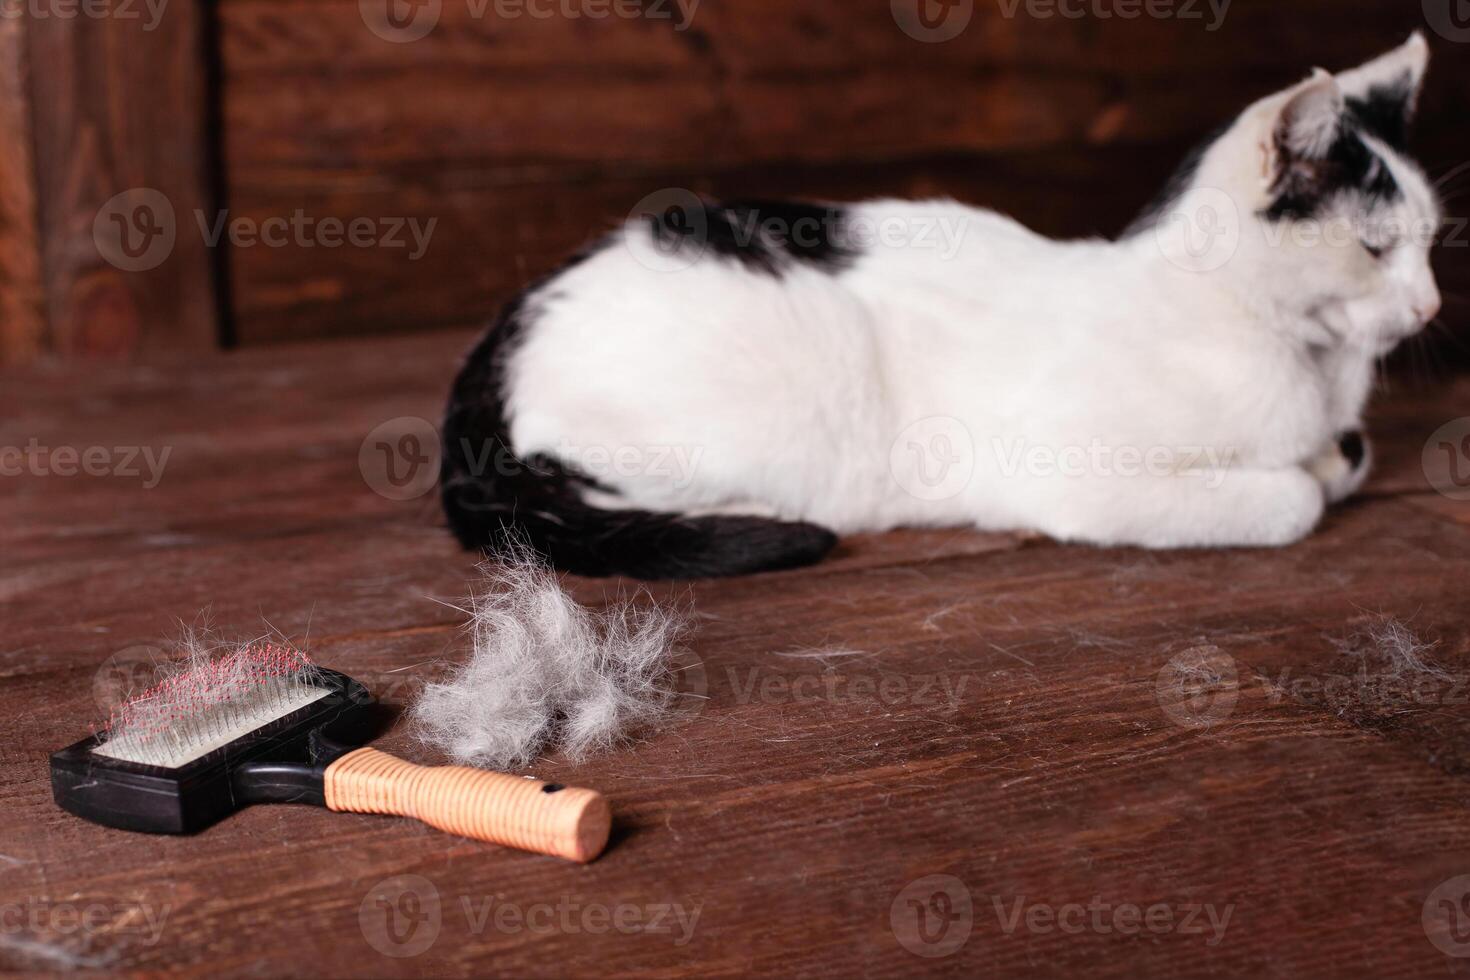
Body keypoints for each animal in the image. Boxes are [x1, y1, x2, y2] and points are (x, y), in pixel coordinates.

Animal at [441, 34, 1440, 578]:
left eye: (1432, 238)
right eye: (1375, 248)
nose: (1430, 308)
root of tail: (501, 331)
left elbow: (1339, 459)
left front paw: (1333, 454)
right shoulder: (1072, 473)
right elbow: (1292, 499)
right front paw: (1303, 476)